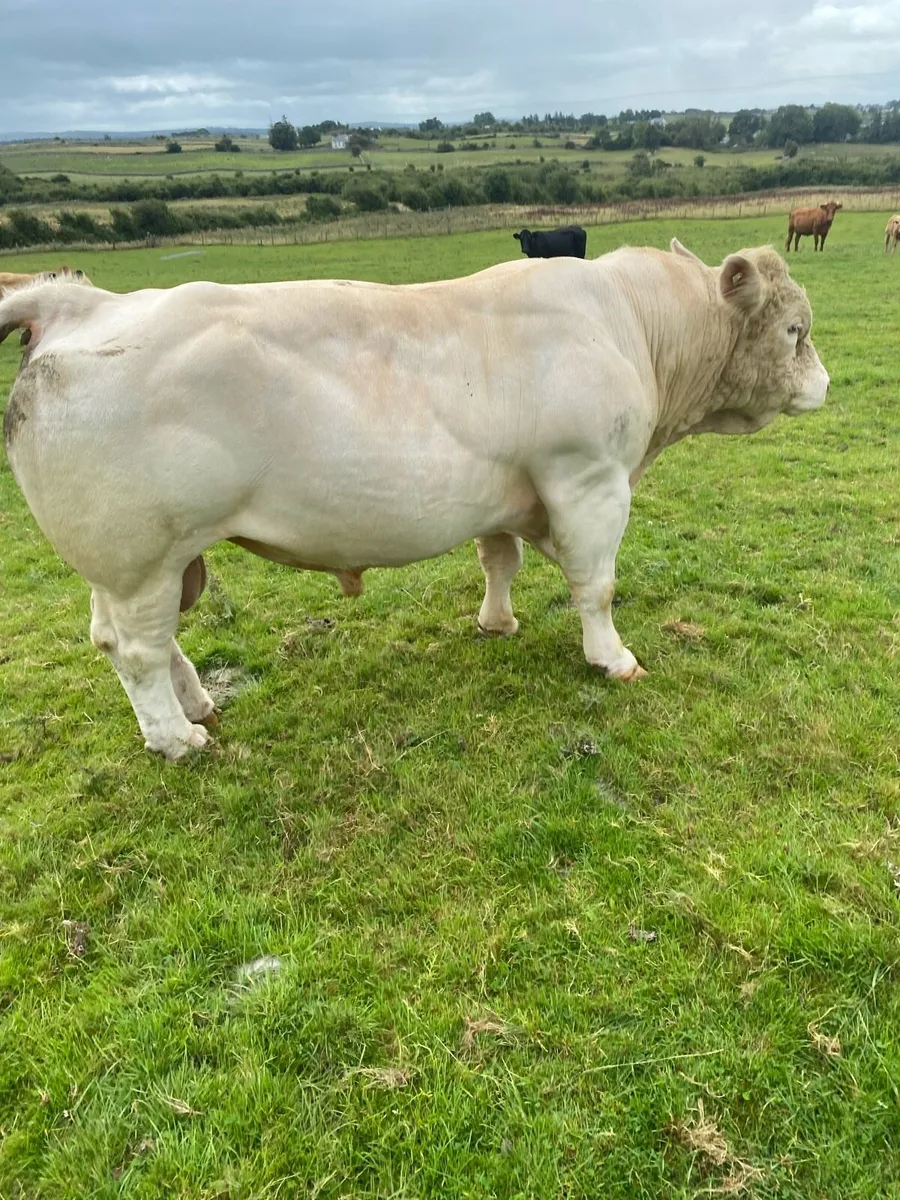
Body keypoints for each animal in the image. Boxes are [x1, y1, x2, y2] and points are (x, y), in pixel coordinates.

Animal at [0, 240, 829, 760]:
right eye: (795, 329)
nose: (826, 384)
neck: (632, 324)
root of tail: (82, 305)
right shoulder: (588, 478)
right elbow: (595, 585)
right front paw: (613, 658)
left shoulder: (509, 491)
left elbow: (500, 559)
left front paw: (497, 622)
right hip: (137, 554)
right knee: (136, 649)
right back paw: (178, 738)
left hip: (150, 562)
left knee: (142, 638)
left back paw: (197, 704)